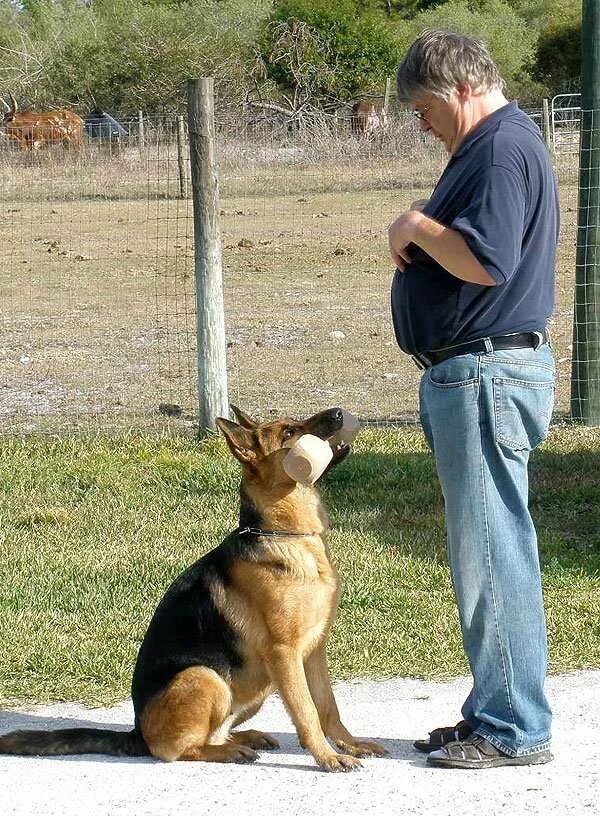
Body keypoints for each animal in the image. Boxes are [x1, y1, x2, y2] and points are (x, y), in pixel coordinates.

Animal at [0, 408, 386, 772]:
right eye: (289, 432)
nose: (338, 412)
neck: (285, 536)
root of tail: (137, 733)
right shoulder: (285, 653)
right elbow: (307, 712)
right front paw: (327, 757)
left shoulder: (314, 651)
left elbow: (328, 707)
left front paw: (350, 745)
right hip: (206, 676)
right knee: (176, 749)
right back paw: (230, 751)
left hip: (252, 686)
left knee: (213, 732)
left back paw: (243, 738)